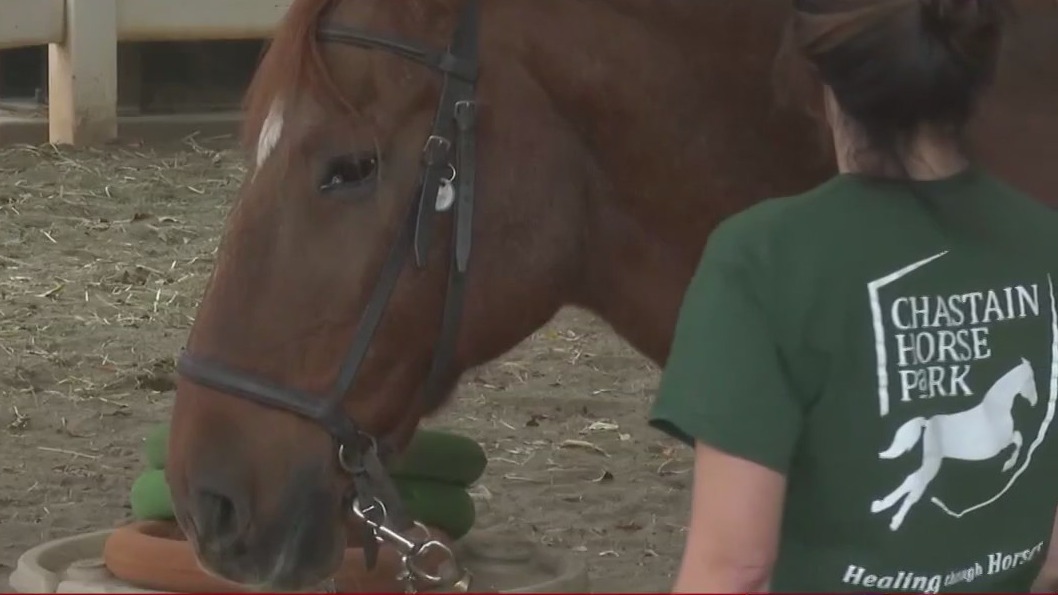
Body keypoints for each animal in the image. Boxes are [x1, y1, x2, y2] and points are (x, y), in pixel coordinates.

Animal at [871, 358, 1040, 532]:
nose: (1035, 401)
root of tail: (928, 423)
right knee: (916, 482)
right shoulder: (1004, 442)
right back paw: (895, 521)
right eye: (1031, 380)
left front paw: (1009, 464)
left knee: (911, 480)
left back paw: (880, 506)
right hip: (933, 463)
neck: (995, 409)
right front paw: (1009, 464)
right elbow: (1019, 439)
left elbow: (1019, 439)